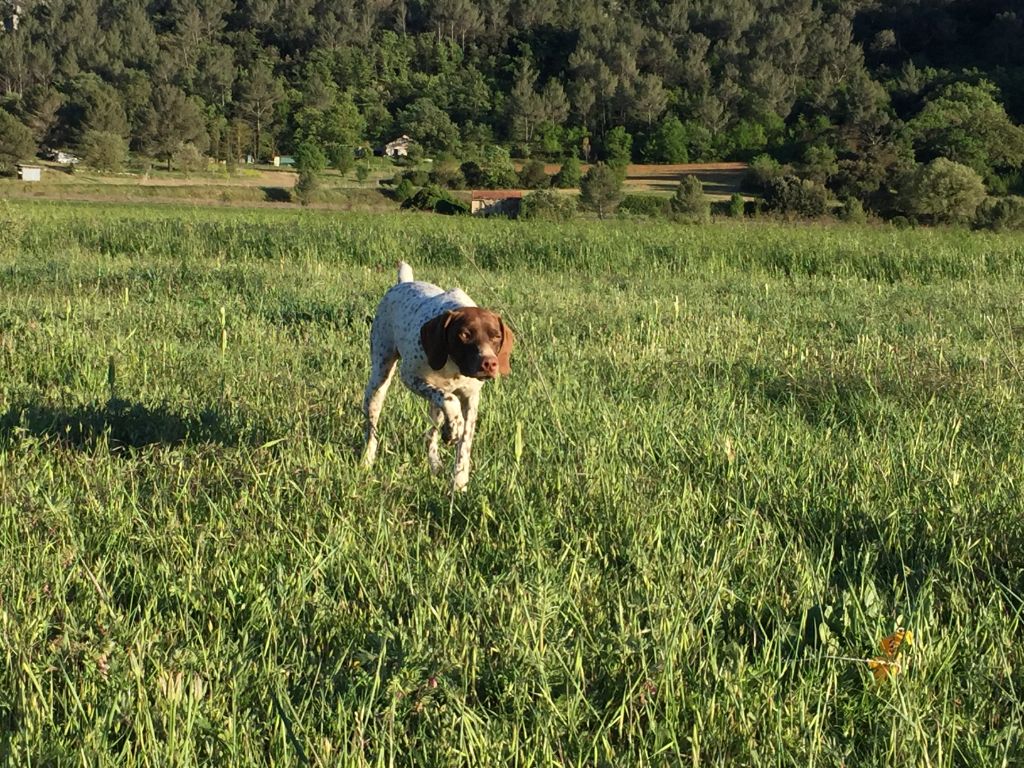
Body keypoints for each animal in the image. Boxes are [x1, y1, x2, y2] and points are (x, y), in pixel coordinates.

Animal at [361, 262, 514, 491]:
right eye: (464, 334)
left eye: (496, 336)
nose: (489, 363)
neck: (454, 365)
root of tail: (403, 282)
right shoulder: (411, 377)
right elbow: (451, 402)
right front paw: (453, 429)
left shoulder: (471, 399)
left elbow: (464, 444)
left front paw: (459, 484)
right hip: (379, 379)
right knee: (372, 429)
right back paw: (367, 460)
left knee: (430, 435)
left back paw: (436, 460)